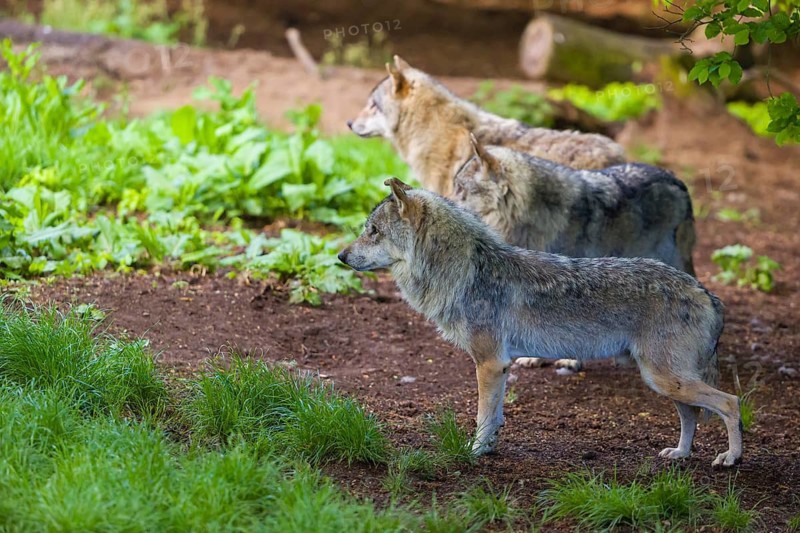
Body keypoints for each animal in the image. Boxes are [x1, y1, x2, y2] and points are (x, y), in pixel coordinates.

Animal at [339, 178, 741, 467]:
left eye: (373, 231)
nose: (340, 255)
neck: (466, 272)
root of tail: (707, 292)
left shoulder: (489, 363)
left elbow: (483, 417)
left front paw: (473, 451)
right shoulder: (501, 366)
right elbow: (495, 417)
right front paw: (489, 449)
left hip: (665, 378)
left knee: (731, 402)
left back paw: (731, 458)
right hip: (665, 381)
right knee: (692, 415)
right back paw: (681, 454)